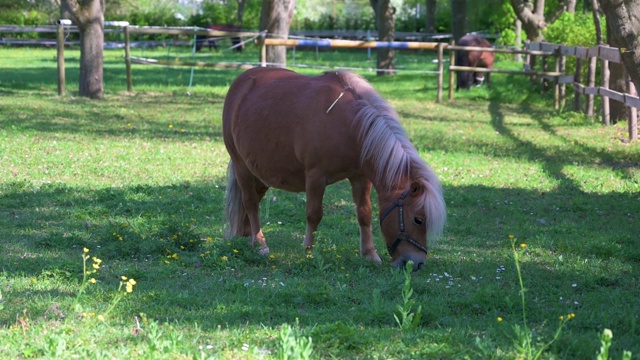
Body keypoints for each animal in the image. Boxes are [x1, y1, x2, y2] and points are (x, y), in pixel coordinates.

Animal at [222, 67, 448, 272]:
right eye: (418, 219)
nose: (416, 264)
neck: (351, 125)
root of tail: (240, 83)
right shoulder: (316, 177)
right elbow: (314, 214)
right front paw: (309, 252)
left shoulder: (361, 177)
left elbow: (364, 214)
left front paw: (369, 254)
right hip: (242, 166)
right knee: (251, 203)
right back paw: (260, 243)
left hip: (261, 173)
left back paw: (249, 237)